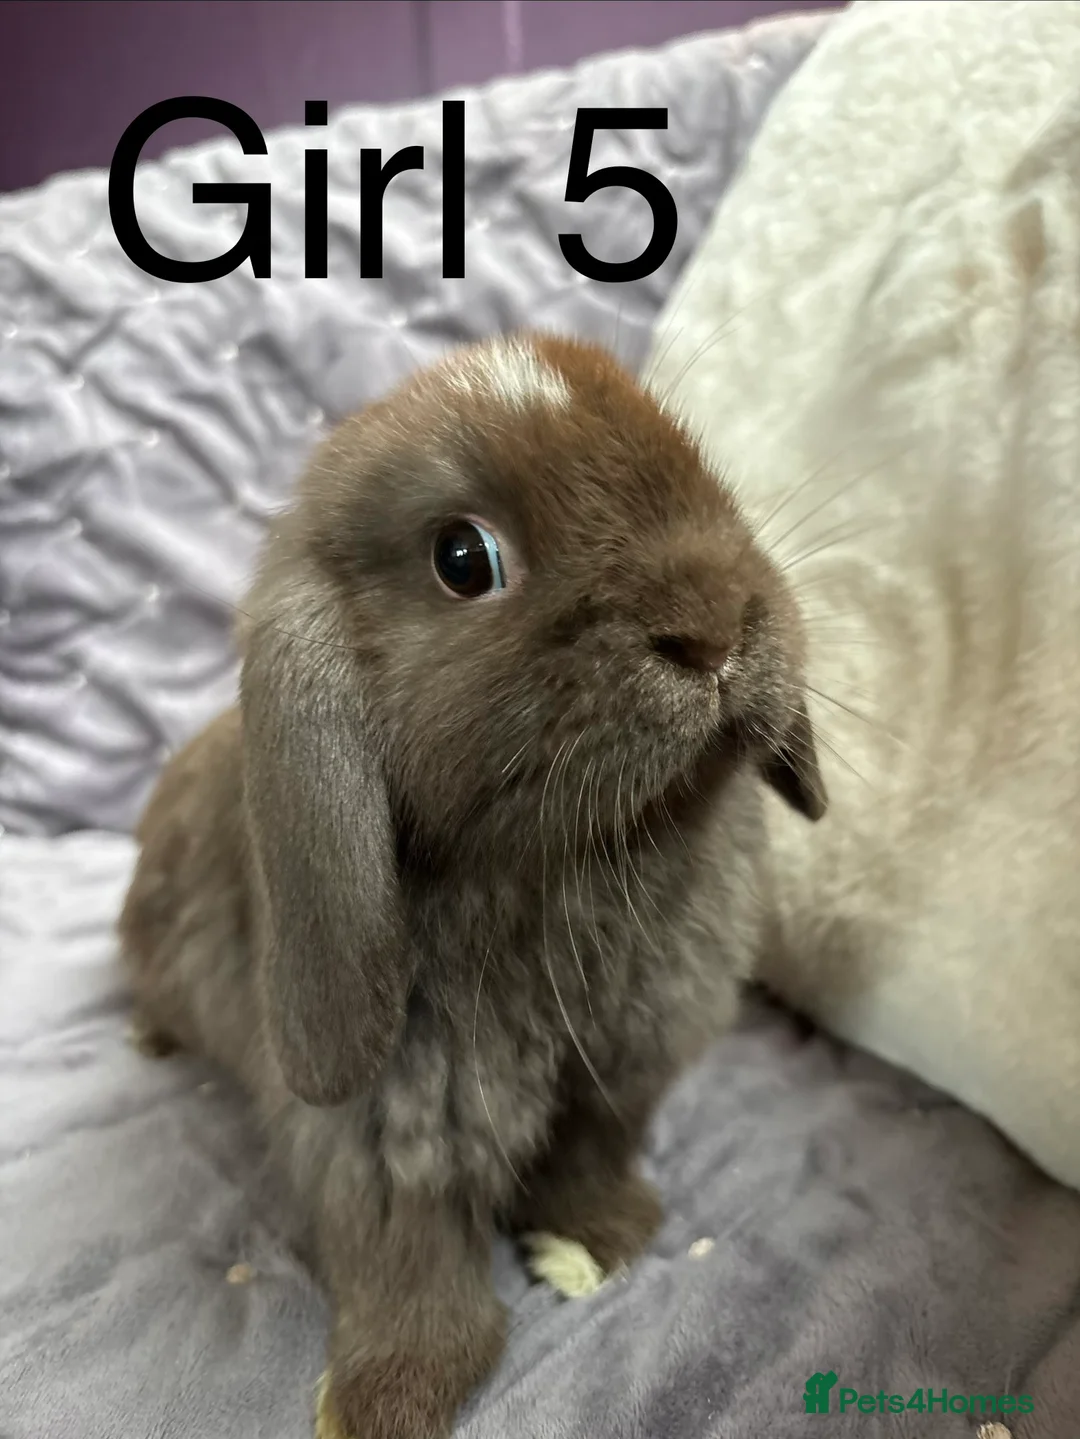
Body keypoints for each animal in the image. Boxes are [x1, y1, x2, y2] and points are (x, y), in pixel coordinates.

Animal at [118, 330, 827, 1439]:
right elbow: (408, 1257)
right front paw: (387, 1399)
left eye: (698, 465)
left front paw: (595, 1240)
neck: (585, 863)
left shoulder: (619, 1076)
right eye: (464, 559)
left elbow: (591, 1157)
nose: (713, 623)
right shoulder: (387, 1132)